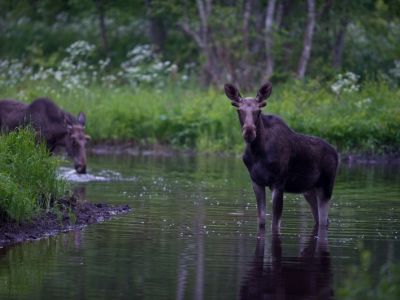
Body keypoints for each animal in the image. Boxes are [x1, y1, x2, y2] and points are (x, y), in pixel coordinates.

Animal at [225, 83, 338, 231]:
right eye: (239, 110)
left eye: (259, 111)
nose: (249, 131)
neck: (257, 151)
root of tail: (337, 154)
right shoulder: (256, 182)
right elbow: (261, 221)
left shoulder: (278, 183)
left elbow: (275, 224)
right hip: (309, 190)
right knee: (320, 219)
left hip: (326, 186)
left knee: (324, 220)